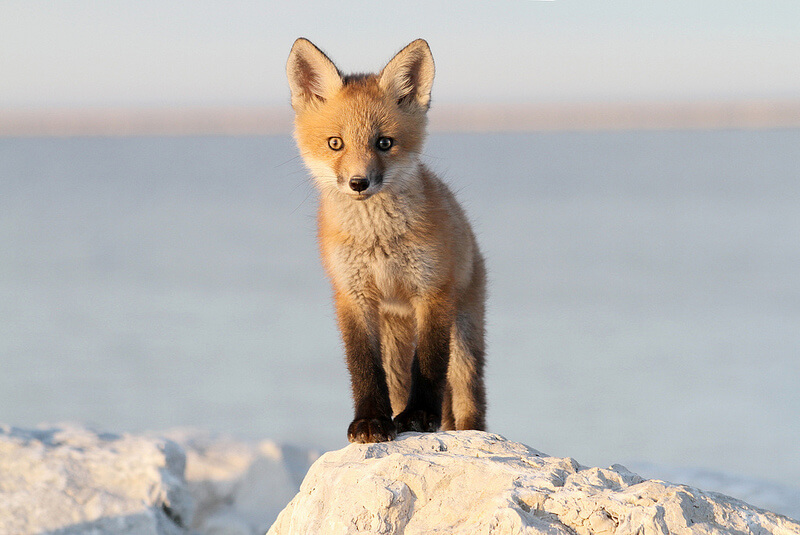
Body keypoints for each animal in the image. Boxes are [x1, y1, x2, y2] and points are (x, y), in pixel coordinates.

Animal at [288, 38, 488, 444]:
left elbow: (429, 366)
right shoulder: (353, 295)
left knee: (467, 401)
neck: (377, 241)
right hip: (394, 342)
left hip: (463, 340)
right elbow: (363, 365)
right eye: (335, 143)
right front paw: (370, 421)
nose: (359, 183)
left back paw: (465, 430)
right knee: (396, 381)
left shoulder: (432, 292)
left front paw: (419, 416)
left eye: (384, 143)